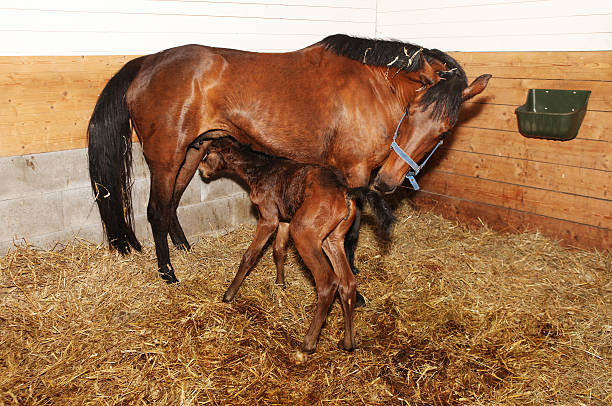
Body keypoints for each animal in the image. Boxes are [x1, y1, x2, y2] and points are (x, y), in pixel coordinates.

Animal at [198, 136, 394, 356]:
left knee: (328, 282)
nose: (201, 170)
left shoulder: (268, 218)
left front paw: (229, 294)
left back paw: (308, 343)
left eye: (208, 154)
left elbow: (250, 255)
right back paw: (347, 343)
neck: (260, 169)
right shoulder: (284, 220)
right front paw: (280, 285)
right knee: (348, 282)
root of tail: (345, 191)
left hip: (303, 233)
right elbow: (278, 250)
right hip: (332, 238)